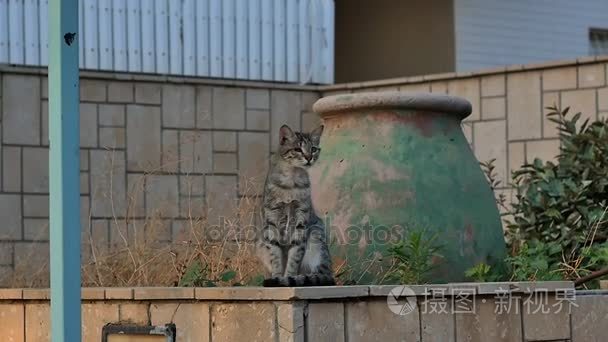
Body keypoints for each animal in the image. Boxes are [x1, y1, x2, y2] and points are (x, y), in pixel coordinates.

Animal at [255, 124, 334, 288]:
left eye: (313, 149)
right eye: (298, 149)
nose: (309, 157)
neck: (291, 183)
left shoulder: (301, 221)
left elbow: (293, 259)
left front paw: (287, 278)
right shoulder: (272, 221)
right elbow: (276, 258)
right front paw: (277, 277)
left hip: (316, 237)